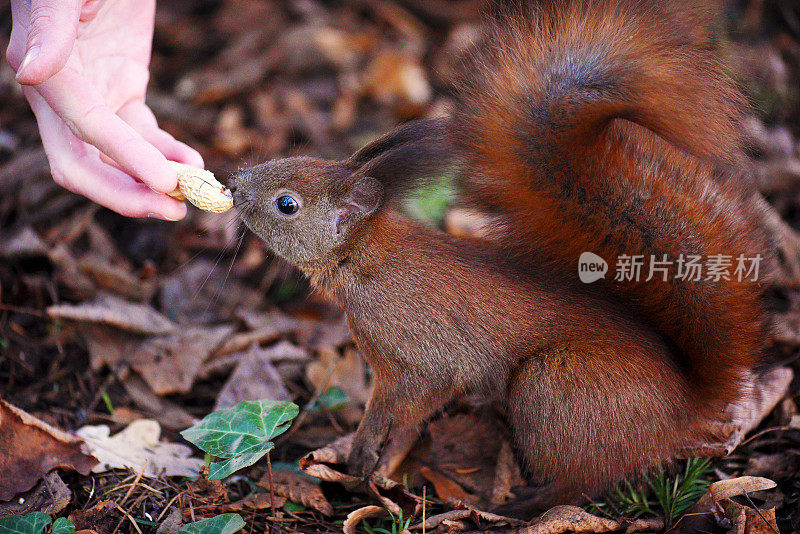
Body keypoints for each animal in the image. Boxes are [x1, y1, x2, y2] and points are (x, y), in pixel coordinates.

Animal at [230, 0, 768, 512]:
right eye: (293, 159)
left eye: (287, 204)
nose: (234, 184)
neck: (363, 259)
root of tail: (683, 405)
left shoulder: (415, 353)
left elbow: (402, 408)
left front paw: (365, 455)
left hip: (552, 386)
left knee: (585, 480)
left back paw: (524, 507)